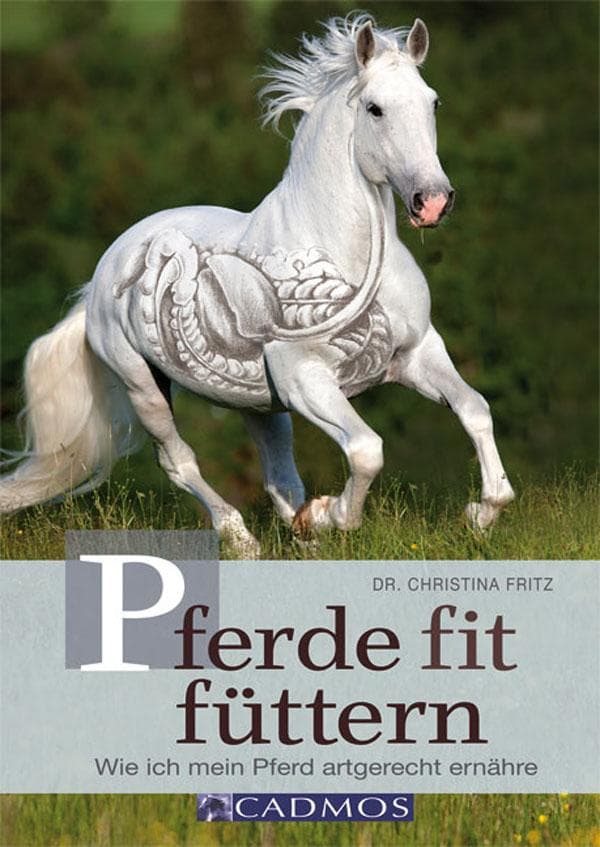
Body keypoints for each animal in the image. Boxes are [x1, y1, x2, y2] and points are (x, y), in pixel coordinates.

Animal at [0, 15, 515, 556]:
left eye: (432, 102)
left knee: (278, 474)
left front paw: (480, 515)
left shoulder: (417, 353)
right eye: (375, 108)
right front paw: (331, 516)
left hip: (256, 403)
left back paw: (301, 532)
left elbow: (475, 410)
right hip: (143, 385)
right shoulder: (305, 377)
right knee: (179, 461)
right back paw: (243, 538)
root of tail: (102, 277)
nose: (432, 201)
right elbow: (366, 450)